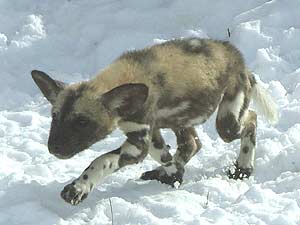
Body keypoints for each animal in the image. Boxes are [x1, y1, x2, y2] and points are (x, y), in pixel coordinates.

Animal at [31, 37, 278, 205]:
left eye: (82, 122)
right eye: (55, 117)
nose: (54, 148)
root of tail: (237, 56)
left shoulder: (137, 143)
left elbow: (100, 161)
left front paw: (79, 187)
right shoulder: (147, 133)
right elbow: (164, 155)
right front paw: (173, 174)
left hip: (227, 124)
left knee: (251, 119)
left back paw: (243, 168)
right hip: (179, 121)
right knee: (192, 144)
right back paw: (168, 174)